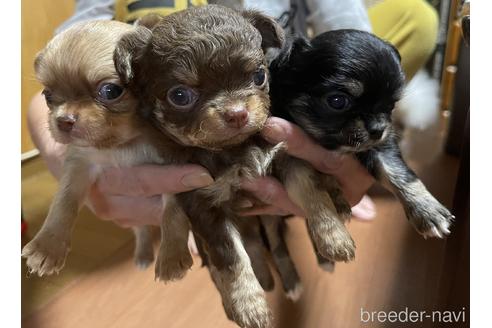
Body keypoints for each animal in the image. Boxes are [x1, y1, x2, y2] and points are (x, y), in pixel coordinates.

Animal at [270, 28, 454, 243]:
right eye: (337, 101)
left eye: (391, 104)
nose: (378, 129)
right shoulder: (286, 155)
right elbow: (309, 187)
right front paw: (331, 235)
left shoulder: (382, 145)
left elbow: (397, 171)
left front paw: (427, 210)